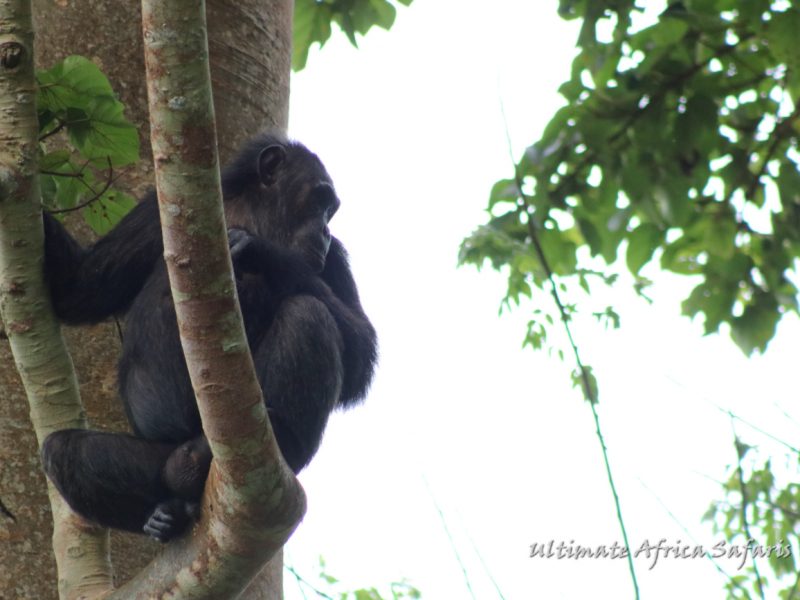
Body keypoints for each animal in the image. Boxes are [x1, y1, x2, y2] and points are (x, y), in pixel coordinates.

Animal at [42, 132, 380, 544]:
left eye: (330, 210)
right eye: (319, 200)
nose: (325, 231)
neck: (255, 212)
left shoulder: (335, 258)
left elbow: (360, 352)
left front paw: (258, 251)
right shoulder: (152, 213)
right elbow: (83, 287)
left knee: (308, 315)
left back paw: (279, 439)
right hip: (158, 456)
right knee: (65, 452)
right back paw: (166, 514)